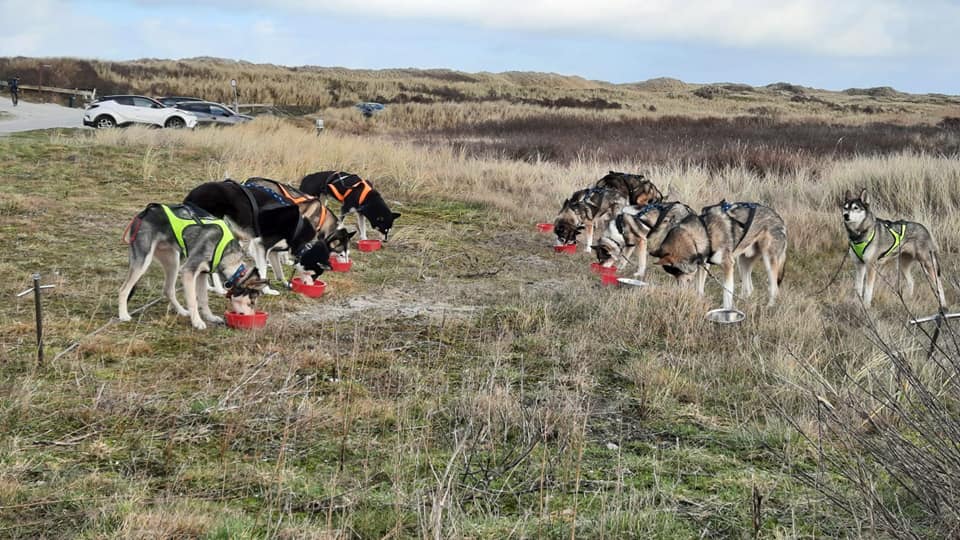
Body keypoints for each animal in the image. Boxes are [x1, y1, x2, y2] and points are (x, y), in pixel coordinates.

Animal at [118, 202, 266, 330]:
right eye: (251, 303)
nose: (252, 317)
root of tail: (143, 213)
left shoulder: (201, 274)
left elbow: (204, 300)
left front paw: (210, 317)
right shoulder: (189, 271)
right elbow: (193, 301)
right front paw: (197, 322)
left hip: (173, 262)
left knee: (168, 290)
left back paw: (182, 311)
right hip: (143, 262)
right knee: (123, 289)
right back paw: (123, 315)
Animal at [183, 179, 330, 294]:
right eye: (314, 274)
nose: (311, 286)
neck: (297, 228)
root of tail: (191, 195)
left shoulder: (273, 251)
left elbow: (279, 271)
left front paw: (284, 283)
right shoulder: (260, 246)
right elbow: (263, 269)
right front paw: (266, 290)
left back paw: (208, 287)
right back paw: (218, 289)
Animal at [652, 199, 788, 308]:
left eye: (678, 273)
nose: (680, 291)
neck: (705, 232)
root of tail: (780, 220)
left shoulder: (728, 266)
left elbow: (726, 294)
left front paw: (726, 312)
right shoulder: (703, 265)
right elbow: (699, 289)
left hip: (768, 263)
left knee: (774, 289)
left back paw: (769, 307)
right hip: (743, 262)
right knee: (749, 288)